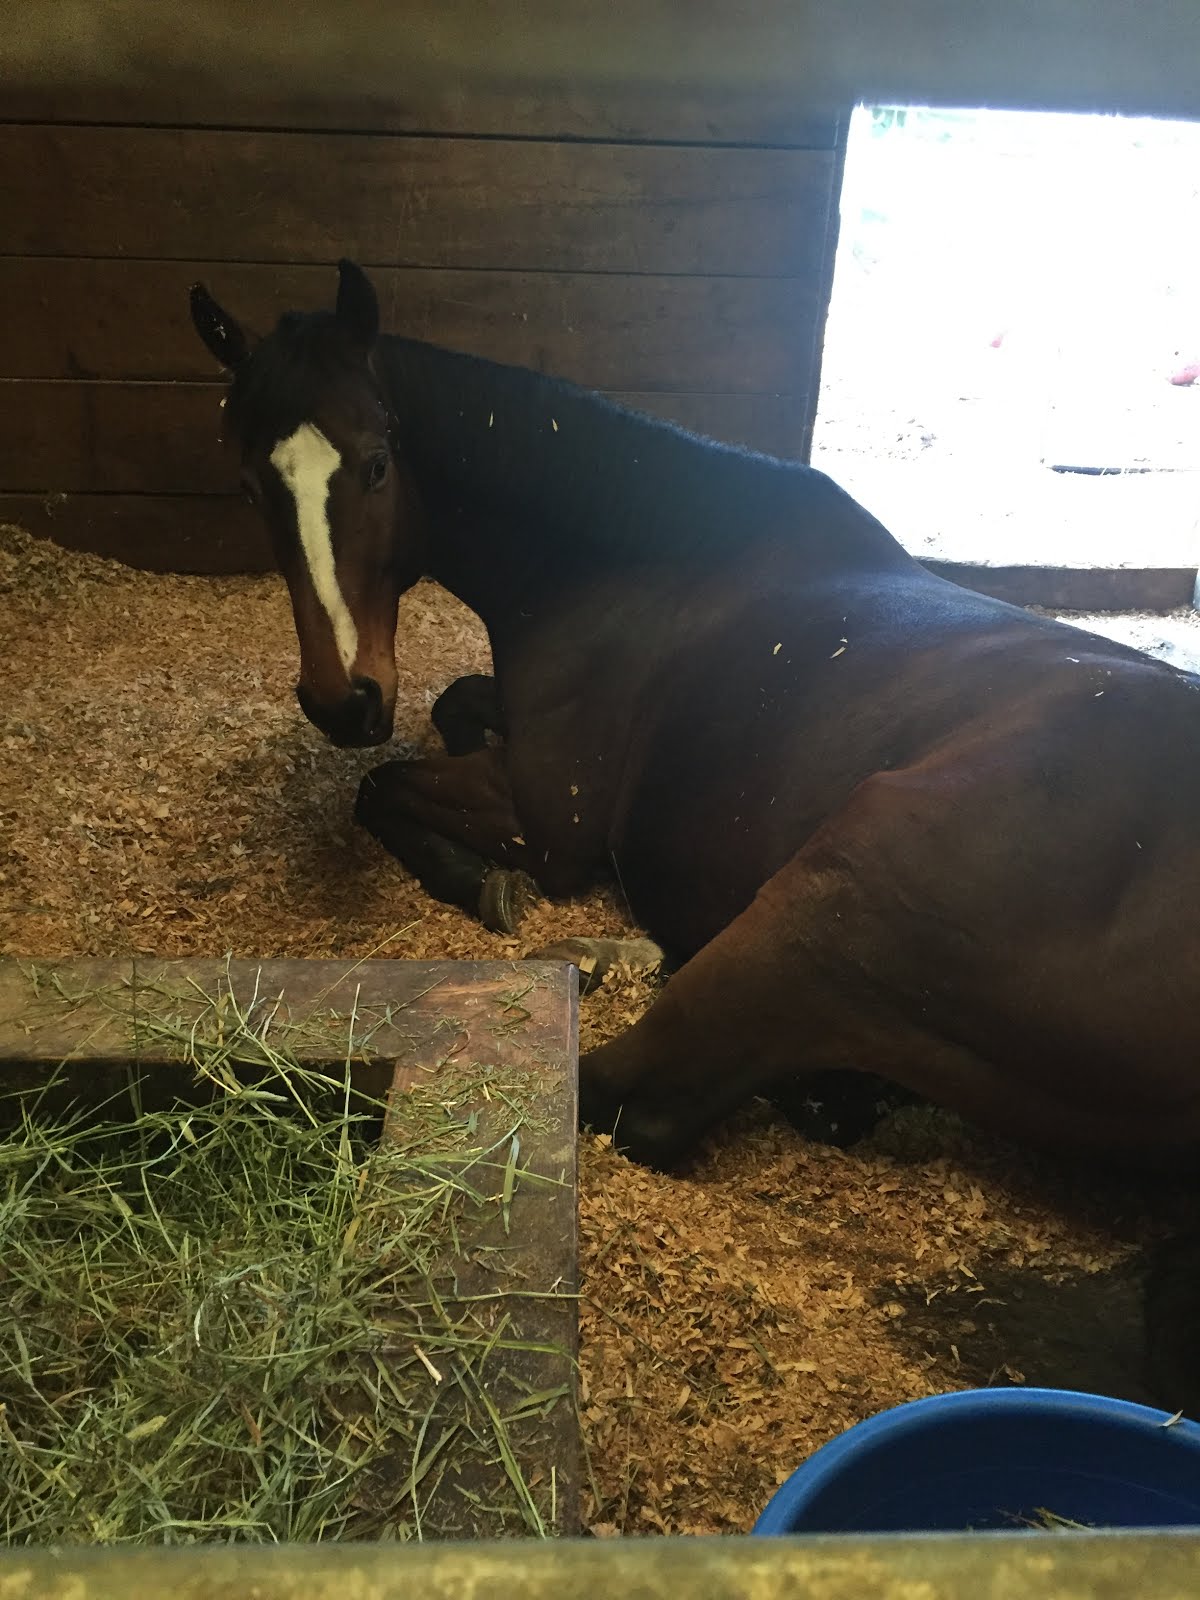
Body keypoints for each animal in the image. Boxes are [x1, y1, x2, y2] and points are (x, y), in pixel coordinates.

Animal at [192, 262, 1200, 1414]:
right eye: (250, 483)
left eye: (374, 461)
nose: (344, 701)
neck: (646, 557)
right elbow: (448, 709)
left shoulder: (548, 816)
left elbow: (385, 790)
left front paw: (483, 883)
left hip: (828, 896)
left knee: (632, 1097)